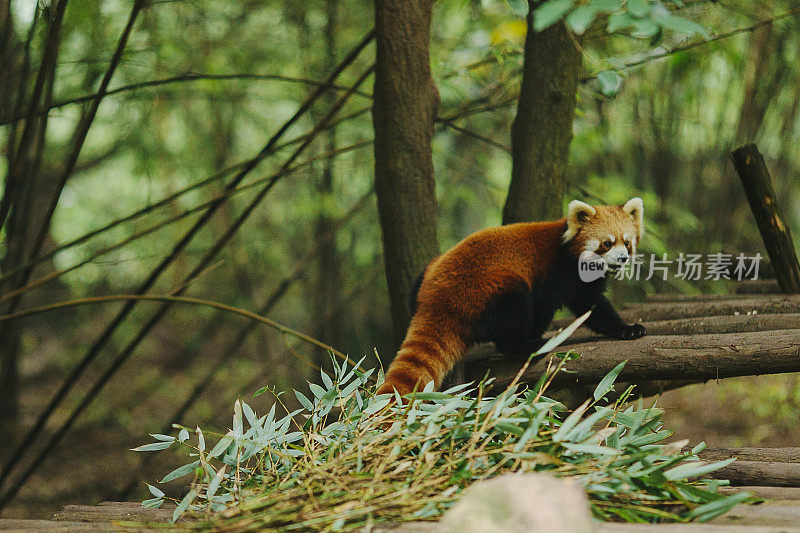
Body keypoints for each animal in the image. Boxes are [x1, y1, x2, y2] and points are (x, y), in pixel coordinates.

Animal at [378, 196, 648, 394]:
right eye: (607, 243)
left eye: (627, 242)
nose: (622, 258)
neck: (567, 249)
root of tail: (434, 300)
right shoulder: (554, 273)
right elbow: (552, 305)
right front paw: (535, 335)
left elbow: (593, 307)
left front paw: (626, 329)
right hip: (489, 289)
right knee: (513, 311)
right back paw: (528, 345)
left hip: (426, 274)